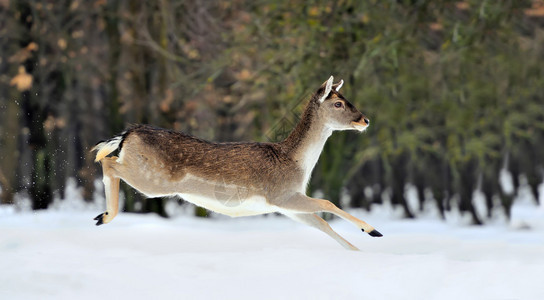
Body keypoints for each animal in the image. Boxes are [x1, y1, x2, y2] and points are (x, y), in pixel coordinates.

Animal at [92, 76, 382, 250]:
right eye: (338, 103)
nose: (365, 120)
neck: (297, 165)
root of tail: (129, 133)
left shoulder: (286, 205)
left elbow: (322, 223)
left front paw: (358, 250)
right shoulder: (281, 195)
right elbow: (327, 203)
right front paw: (373, 230)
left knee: (107, 160)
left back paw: (102, 216)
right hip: (153, 179)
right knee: (107, 161)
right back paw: (105, 215)